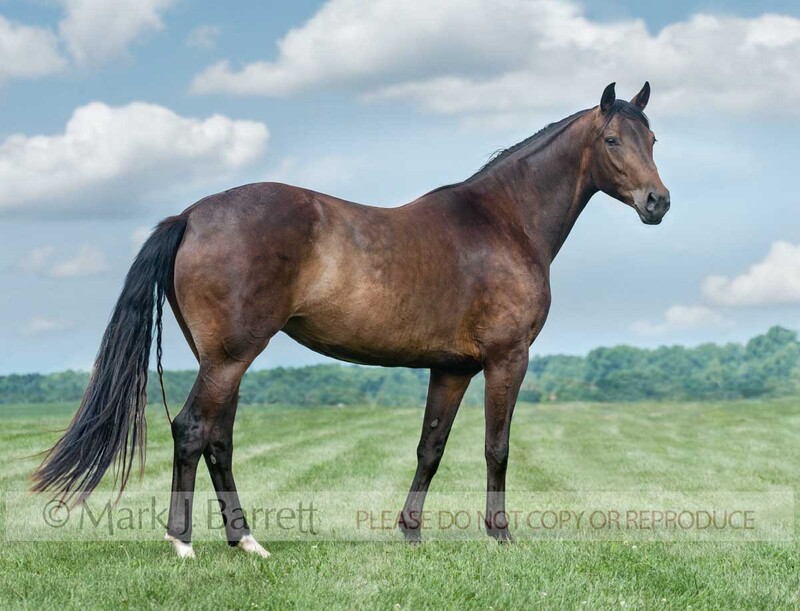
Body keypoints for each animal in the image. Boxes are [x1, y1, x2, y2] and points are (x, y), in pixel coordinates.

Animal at [33, 82, 669, 558]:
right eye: (613, 139)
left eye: (654, 138)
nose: (657, 202)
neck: (503, 222)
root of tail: (190, 216)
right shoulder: (507, 359)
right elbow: (497, 448)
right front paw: (501, 535)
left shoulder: (452, 368)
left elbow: (430, 447)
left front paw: (411, 532)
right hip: (230, 358)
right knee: (192, 430)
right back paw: (183, 543)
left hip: (221, 361)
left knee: (218, 440)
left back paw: (247, 541)